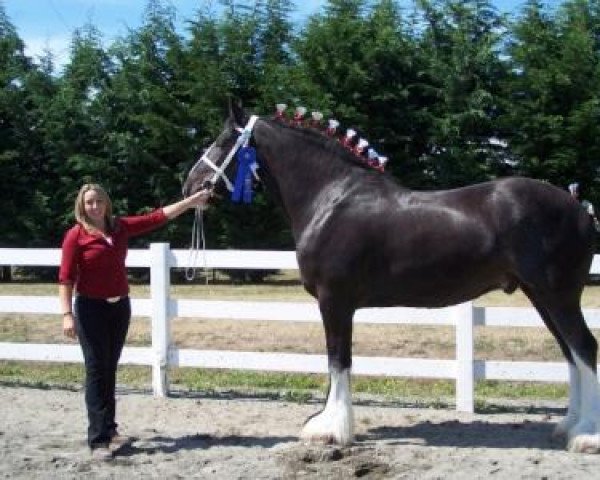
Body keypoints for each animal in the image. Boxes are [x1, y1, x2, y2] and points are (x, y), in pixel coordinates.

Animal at [183, 104, 600, 454]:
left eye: (221, 141)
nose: (189, 185)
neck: (331, 198)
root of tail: (580, 208)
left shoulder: (335, 300)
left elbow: (338, 360)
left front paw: (332, 430)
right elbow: (335, 362)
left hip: (558, 295)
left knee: (585, 348)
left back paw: (587, 437)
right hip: (541, 296)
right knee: (571, 354)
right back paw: (568, 427)